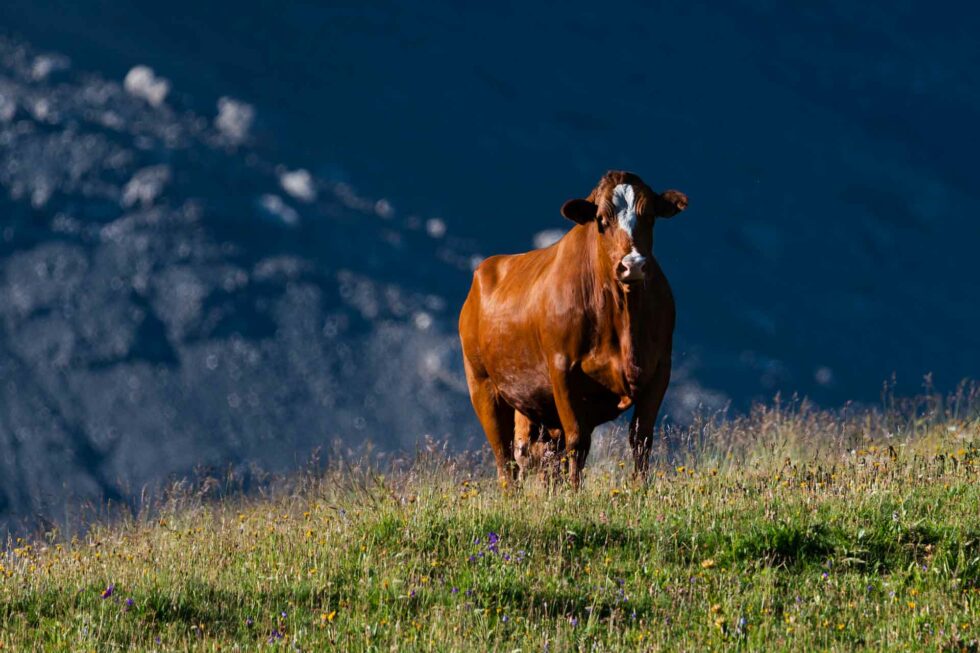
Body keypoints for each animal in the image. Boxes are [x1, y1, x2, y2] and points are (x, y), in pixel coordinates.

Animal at [458, 170, 688, 488]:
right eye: (601, 220)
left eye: (651, 217)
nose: (633, 265)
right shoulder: (563, 370)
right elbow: (577, 441)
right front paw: (575, 493)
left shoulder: (659, 369)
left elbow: (641, 439)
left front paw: (640, 489)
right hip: (482, 384)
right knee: (506, 457)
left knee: (543, 455)